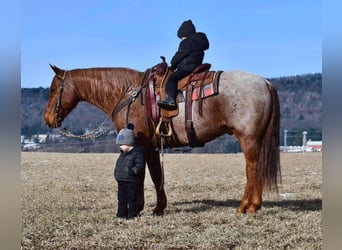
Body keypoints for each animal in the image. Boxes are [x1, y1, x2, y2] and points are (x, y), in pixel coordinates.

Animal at [44, 62, 280, 215]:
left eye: (54, 89)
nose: (47, 119)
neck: (129, 95)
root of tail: (265, 82)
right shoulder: (152, 147)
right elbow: (156, 175)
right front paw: (158, 207)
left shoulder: (139, 144)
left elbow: (143, 176)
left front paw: (141, 207)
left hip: (248, 139)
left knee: (252, 168)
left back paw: (247, 206)